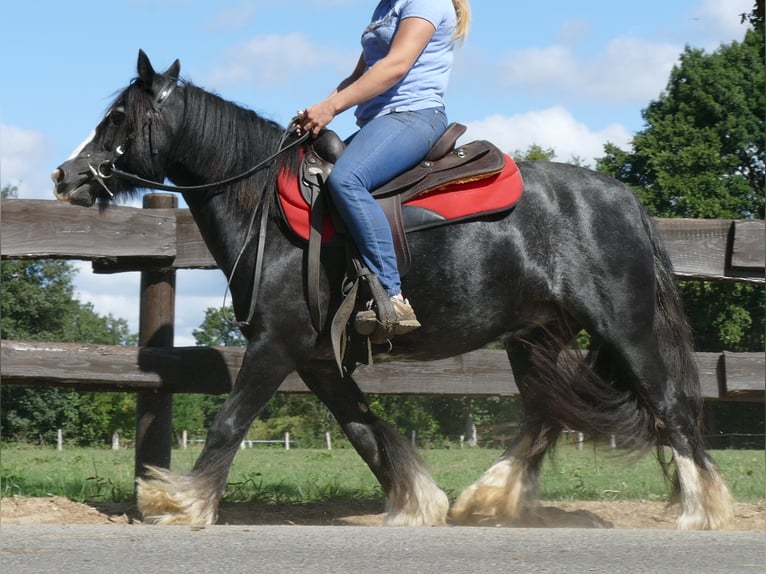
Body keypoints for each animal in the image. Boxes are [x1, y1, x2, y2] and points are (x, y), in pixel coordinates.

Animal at [51, 53, 736, 532]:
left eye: (118, 118)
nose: (64, 175)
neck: (267, 207)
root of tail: (624, 199)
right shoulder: (318, 357)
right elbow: (364, 429)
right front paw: (416, 501)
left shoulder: (276, 344)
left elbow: (230, 422)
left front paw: (178, 502)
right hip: (535, 337)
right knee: (546, 415)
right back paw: (489, 498)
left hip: (625, 328)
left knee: (670, 406)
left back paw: (704, 510)